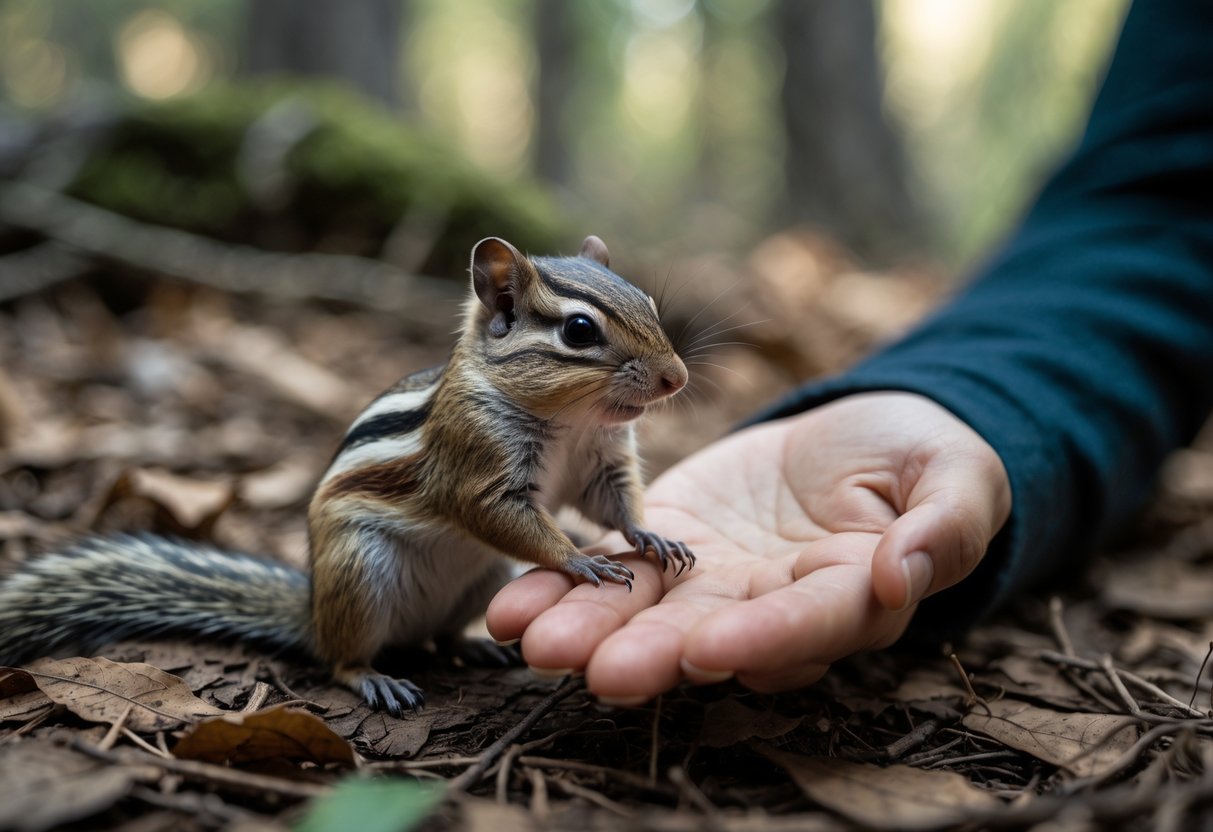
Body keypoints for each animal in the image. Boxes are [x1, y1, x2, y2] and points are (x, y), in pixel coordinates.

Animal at [0, 235, 694, 717]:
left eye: (648, 303)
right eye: (579, 331)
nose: (677, 378)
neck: (571, 422)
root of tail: (313, 612)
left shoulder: (601, 461)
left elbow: (615, 503)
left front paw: (650, 536)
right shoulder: (475, 464)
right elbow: (495, 513)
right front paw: (580, 559)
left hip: (480, 579)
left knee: (440, 636)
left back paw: (476, 645)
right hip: (361, 574)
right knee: (341, 661)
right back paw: (374, 677)